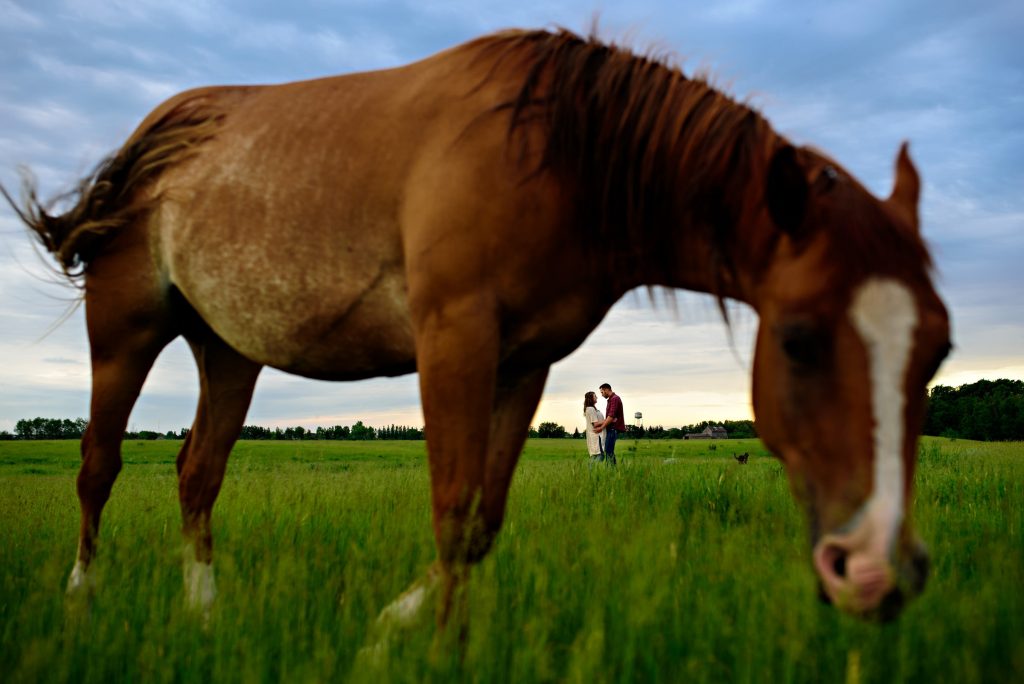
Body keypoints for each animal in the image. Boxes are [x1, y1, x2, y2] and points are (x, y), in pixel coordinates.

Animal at [4, 27, 950, 625]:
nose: (876, 570)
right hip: (123, 332)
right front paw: (411, 633)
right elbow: (453, 511)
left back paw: (204, 613)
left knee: (198, 476)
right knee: (99, 466)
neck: (558, 150)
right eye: (798, 338)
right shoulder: (455, 339)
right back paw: (82, 597)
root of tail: (150, 145)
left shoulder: (524, 362)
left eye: (938, 351)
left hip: (228, 350)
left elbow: (481, 525)